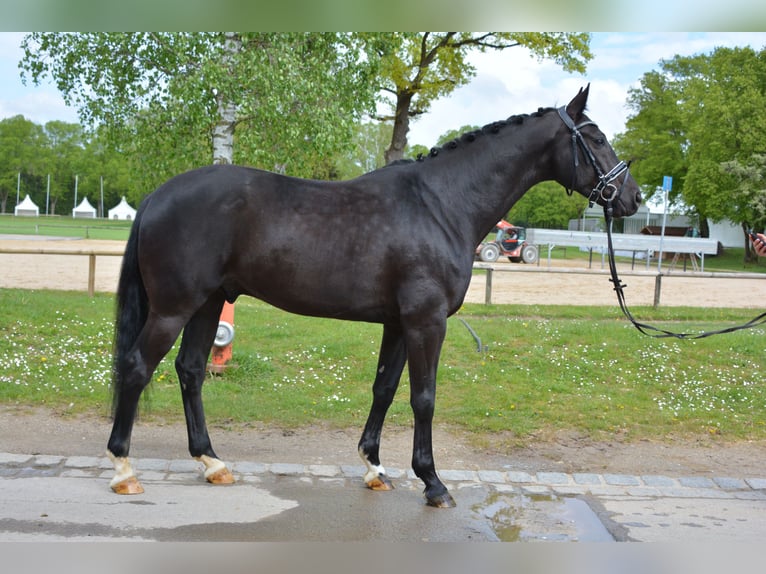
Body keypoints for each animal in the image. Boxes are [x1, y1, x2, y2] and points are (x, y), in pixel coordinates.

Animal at [106, 86, 640, 508]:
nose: (632, 198)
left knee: (191, 370)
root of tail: (157, 195)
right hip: (174, 308)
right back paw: (124, 470)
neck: (442, 204)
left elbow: (384, 388)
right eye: (595, 138)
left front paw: (374, 468)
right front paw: (433, 482)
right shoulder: (427, 321)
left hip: (209, 302)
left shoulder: (399, 323)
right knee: (136, 368)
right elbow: (423, 397)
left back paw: (213, 463)